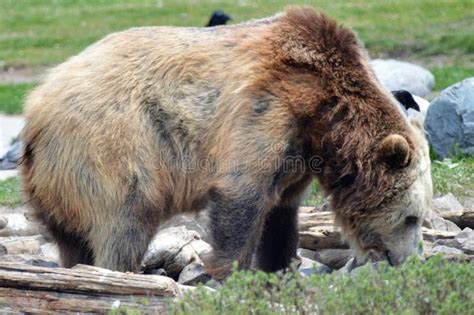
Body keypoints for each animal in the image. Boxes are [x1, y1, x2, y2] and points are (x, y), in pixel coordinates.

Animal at [20, 6, 432, 276]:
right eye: (411, 217)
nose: (411, 259)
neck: (325, 117)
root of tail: (36, 105)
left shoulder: (299, 155)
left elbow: (281, 215)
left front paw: (279, 271)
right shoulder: (267, 110)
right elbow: (242, 195)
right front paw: (230, 274)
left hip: (60, 179)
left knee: (71, 238)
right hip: (115, 148)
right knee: (123, 222)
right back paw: (117, 271)